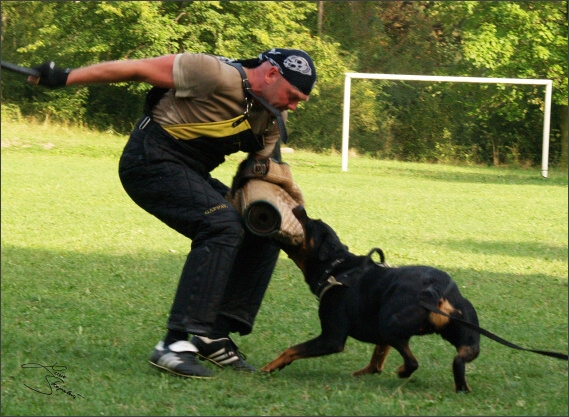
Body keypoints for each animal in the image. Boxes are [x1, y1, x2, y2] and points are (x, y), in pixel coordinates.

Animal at [262, 206, 480, 392]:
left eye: (311, 223)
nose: (299, 207)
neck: (335, 267)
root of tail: (436, 288)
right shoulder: (380, 338)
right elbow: (377, 358)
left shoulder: (332, 338)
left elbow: (291, 349)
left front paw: (269, 367)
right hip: (467, 333)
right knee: (458, 361)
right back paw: (462, 387)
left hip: (390, 323)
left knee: (413, 362)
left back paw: (403, 371)